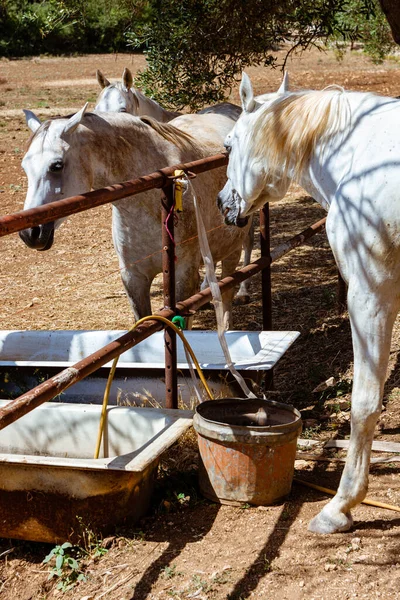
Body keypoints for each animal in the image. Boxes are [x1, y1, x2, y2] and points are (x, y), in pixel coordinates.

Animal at [19, 105, 250, 326]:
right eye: (25, 166)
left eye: (57, 165)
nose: (30, 233)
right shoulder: (133, 278)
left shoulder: (183, 277)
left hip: (233, 249)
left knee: (228, 291)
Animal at [217, 71, 400, 536]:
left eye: (228, 145)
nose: (223, 203)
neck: (362, 158)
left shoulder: (371, 293)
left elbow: (364, 403)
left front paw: (341, 505)